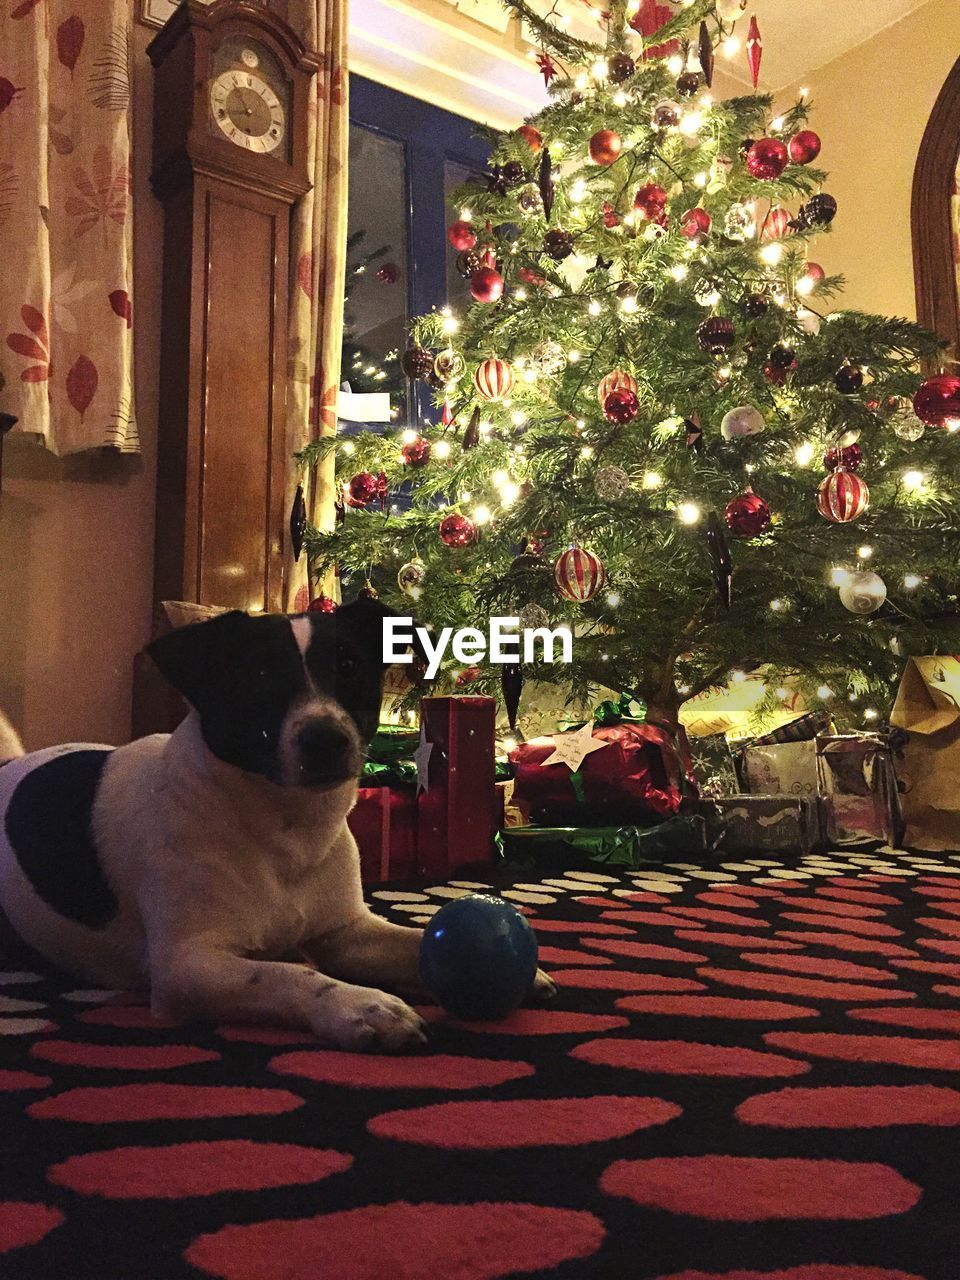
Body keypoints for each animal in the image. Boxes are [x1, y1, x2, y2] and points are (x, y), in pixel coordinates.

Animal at [0, 599, 555, 1049]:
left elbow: (410, 940)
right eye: (261, 673)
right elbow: (287, 976)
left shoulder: (346, 933)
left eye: (349, 665)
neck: (285, 830)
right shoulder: (188, 966)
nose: (325, 739)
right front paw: (361, 1005)